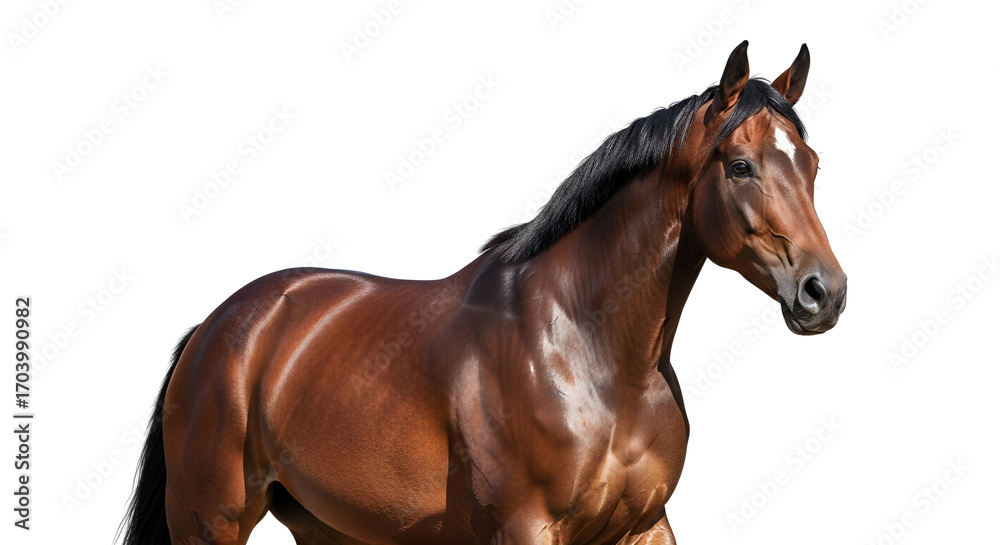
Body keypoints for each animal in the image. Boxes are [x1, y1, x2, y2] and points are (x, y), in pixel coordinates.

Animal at [120, 41, 846, 545]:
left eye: (811, 164)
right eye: (741, 165)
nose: (824, 293)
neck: (588, 354)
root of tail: (216, 329)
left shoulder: (645, 524)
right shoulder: (525, 527)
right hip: (211, 522)